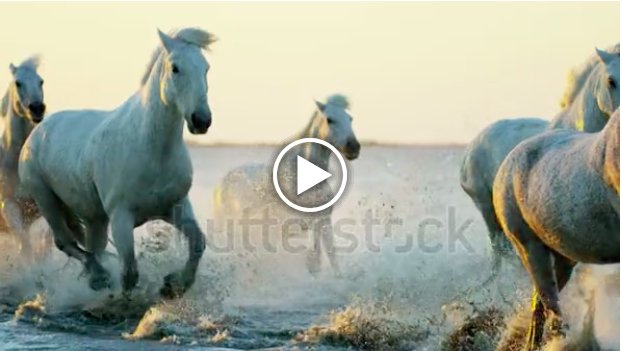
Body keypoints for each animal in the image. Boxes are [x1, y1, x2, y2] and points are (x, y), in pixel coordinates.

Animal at [18, 27, 216, 298]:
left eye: (206, 68)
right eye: (175, 68)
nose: (201, 120)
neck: (152, 151)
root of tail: (37, 132)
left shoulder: (176, 206)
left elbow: (198, 243)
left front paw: (174, 285)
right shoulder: (121, 218)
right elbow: (130, 272)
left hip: (94, 217)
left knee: (94, 247)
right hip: (46, 199)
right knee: (67, 243)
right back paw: (98, 277)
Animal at [213, 95, 360, 276]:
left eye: (350, 118)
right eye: (330, 119)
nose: (353, 147)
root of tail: (222, 184)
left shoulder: (322, 221)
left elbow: (329, 256)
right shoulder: (288, 227)